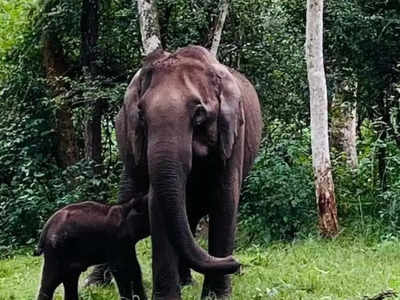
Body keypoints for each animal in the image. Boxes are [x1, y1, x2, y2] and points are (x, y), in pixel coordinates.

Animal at [115, 45, 262, 298]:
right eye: (141, 114)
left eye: (199, 114)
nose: (236, 262)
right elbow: (157, 205)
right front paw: (167, 297)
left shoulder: (234, 135)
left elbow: (225, 200)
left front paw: (217, 296)